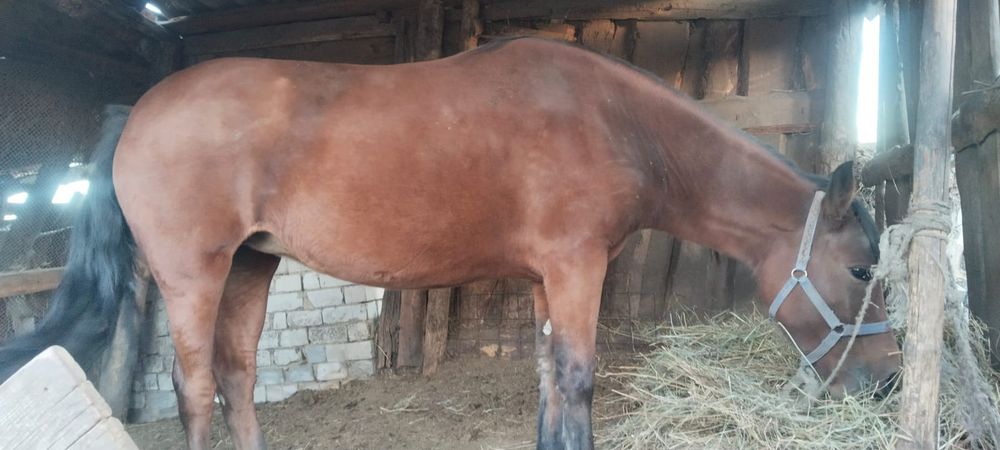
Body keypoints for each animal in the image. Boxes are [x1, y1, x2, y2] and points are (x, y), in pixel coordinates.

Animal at [0, 37, 901, 450]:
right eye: (862, 268)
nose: (887, 383)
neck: (617, 122)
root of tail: (136, 110)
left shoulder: (547, 275)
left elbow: (548, 377)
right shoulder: (576, 265)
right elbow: (579, 379)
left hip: (253, 264)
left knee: (235, 378)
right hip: (193, 273)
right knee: (193, 390)